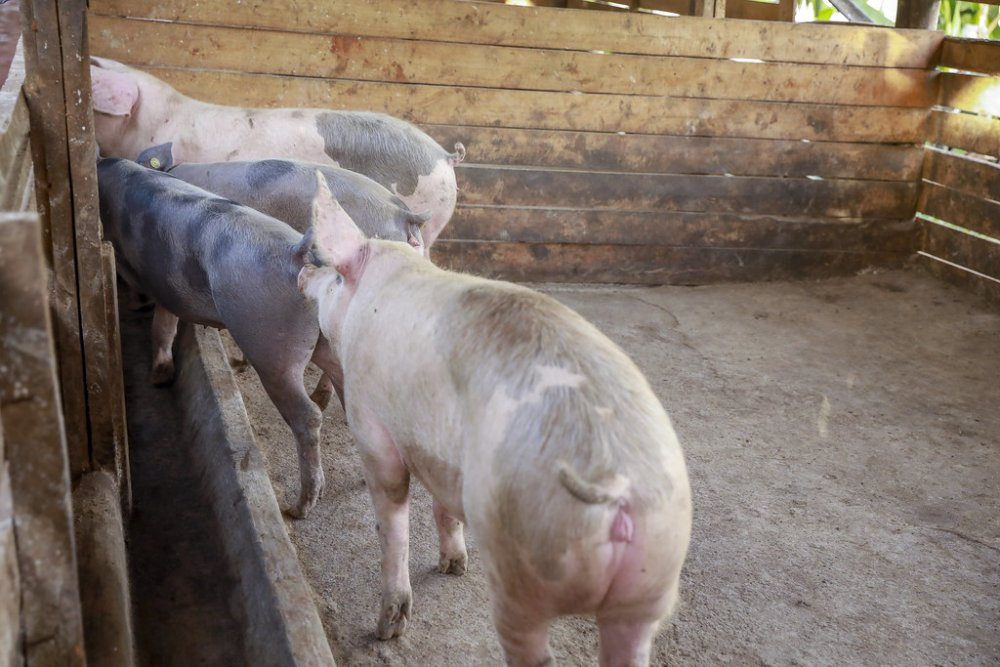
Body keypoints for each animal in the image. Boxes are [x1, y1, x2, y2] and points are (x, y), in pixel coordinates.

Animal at [97, 157, 343, 519]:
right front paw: (163, 372)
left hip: (272, 348)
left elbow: (158, 323)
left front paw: (157, 376)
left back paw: (299, 508)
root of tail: (298, 253)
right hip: (326, 341)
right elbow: (166, 324)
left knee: (307, 415)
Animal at [298, 173, 693, 666]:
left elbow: (392, 515)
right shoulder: (444, 455)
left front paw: (388, 629)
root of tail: (615, 483)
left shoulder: (372, 422)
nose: (301, 273)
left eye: (334, 273)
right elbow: (444, 506)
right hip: (652, 580)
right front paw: (452, 567)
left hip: (523, 557)